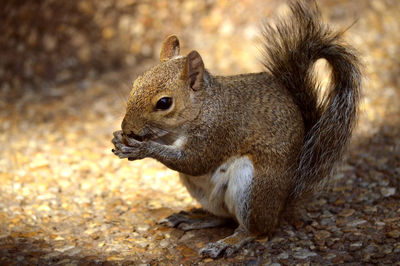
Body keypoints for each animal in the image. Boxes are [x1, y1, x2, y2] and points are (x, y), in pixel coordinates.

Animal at [111, 0, 360, 258]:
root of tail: (282, 203)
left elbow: (194, 161)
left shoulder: (218, 131)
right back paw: (195, 219)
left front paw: (143, 149)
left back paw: (227, 243)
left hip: (252, 188)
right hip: (205, 192)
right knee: (223, 217)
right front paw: (121, 140)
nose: (127, 128)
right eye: (136, 83)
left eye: (164, 103)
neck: (204, 107)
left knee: (256, 230)